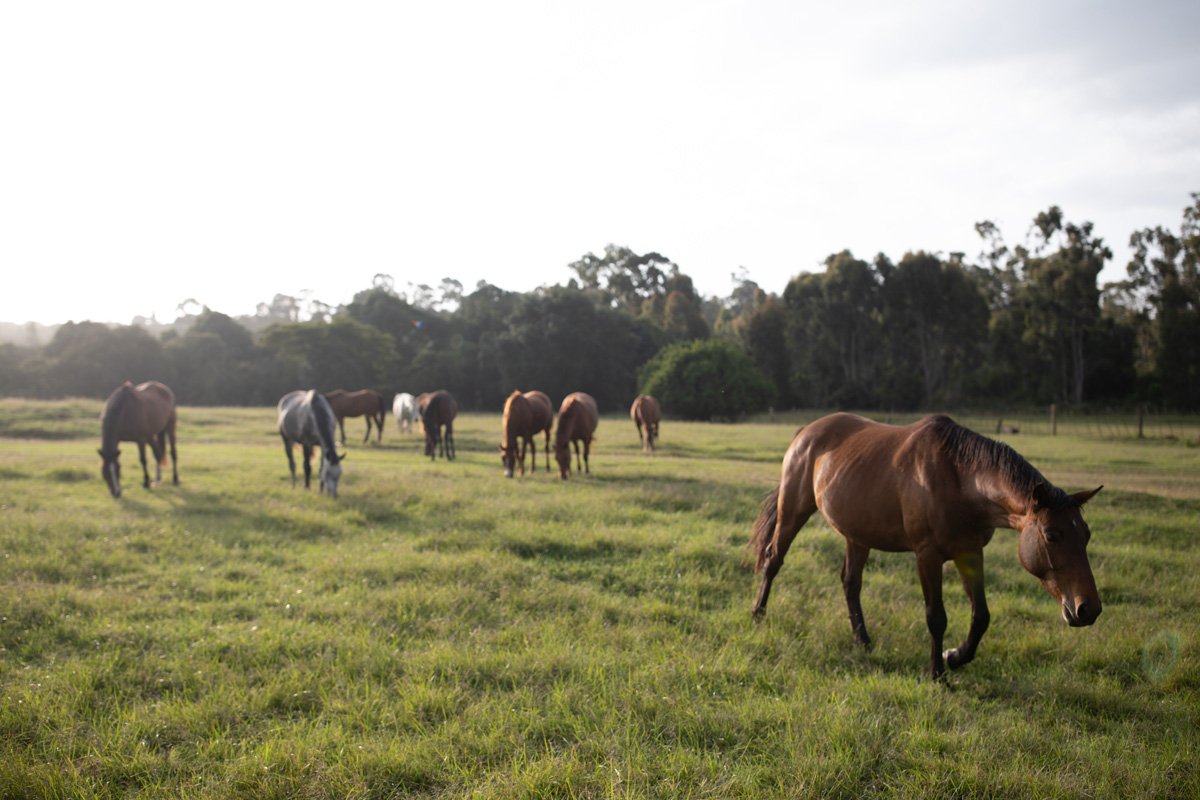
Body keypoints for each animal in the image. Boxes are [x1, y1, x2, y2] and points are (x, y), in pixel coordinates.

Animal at [748, 412, 1104, 681]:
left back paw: (863, 640)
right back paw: (758, 616)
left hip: (857, 534)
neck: (960, 479)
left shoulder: (970, 553)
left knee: (851, 583)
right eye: (1052, 535)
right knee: (773, 560)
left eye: (1086, 535)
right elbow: (936, 616)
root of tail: (806, 432)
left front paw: (954, 656)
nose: (1088, 609)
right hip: (793, 511)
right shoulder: (927, 555)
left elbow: (981, 616)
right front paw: (937, 674)